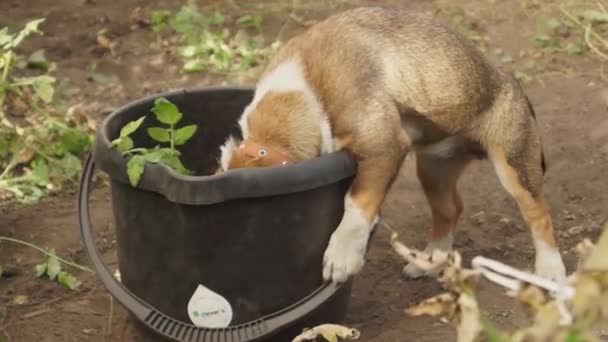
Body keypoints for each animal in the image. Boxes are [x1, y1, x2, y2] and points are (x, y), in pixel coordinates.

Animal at [216, 6, 568, 284]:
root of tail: (515, 86)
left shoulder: (382, 149)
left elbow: (356, 202)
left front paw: (342, 255)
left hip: (514, 166)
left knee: (539, 214)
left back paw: (550, 271)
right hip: (433, 170)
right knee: (450, 210)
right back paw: (429, 261)